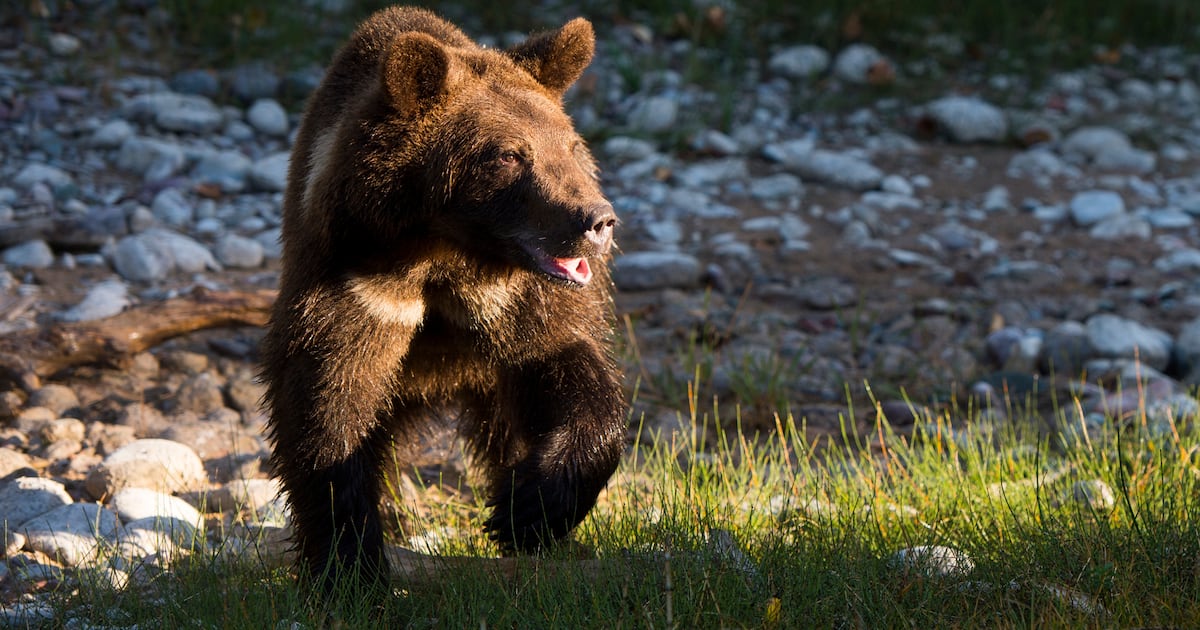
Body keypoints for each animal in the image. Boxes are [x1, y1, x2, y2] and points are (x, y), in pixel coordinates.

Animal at [259, 6, 627, 594]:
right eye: (509, 155)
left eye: (570, 146)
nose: (596, 221)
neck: (443, 254)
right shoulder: (360, 287)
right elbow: (330, 409)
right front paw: (350, 569)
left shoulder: (518, 301)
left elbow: (569, 370)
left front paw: (526, 511)